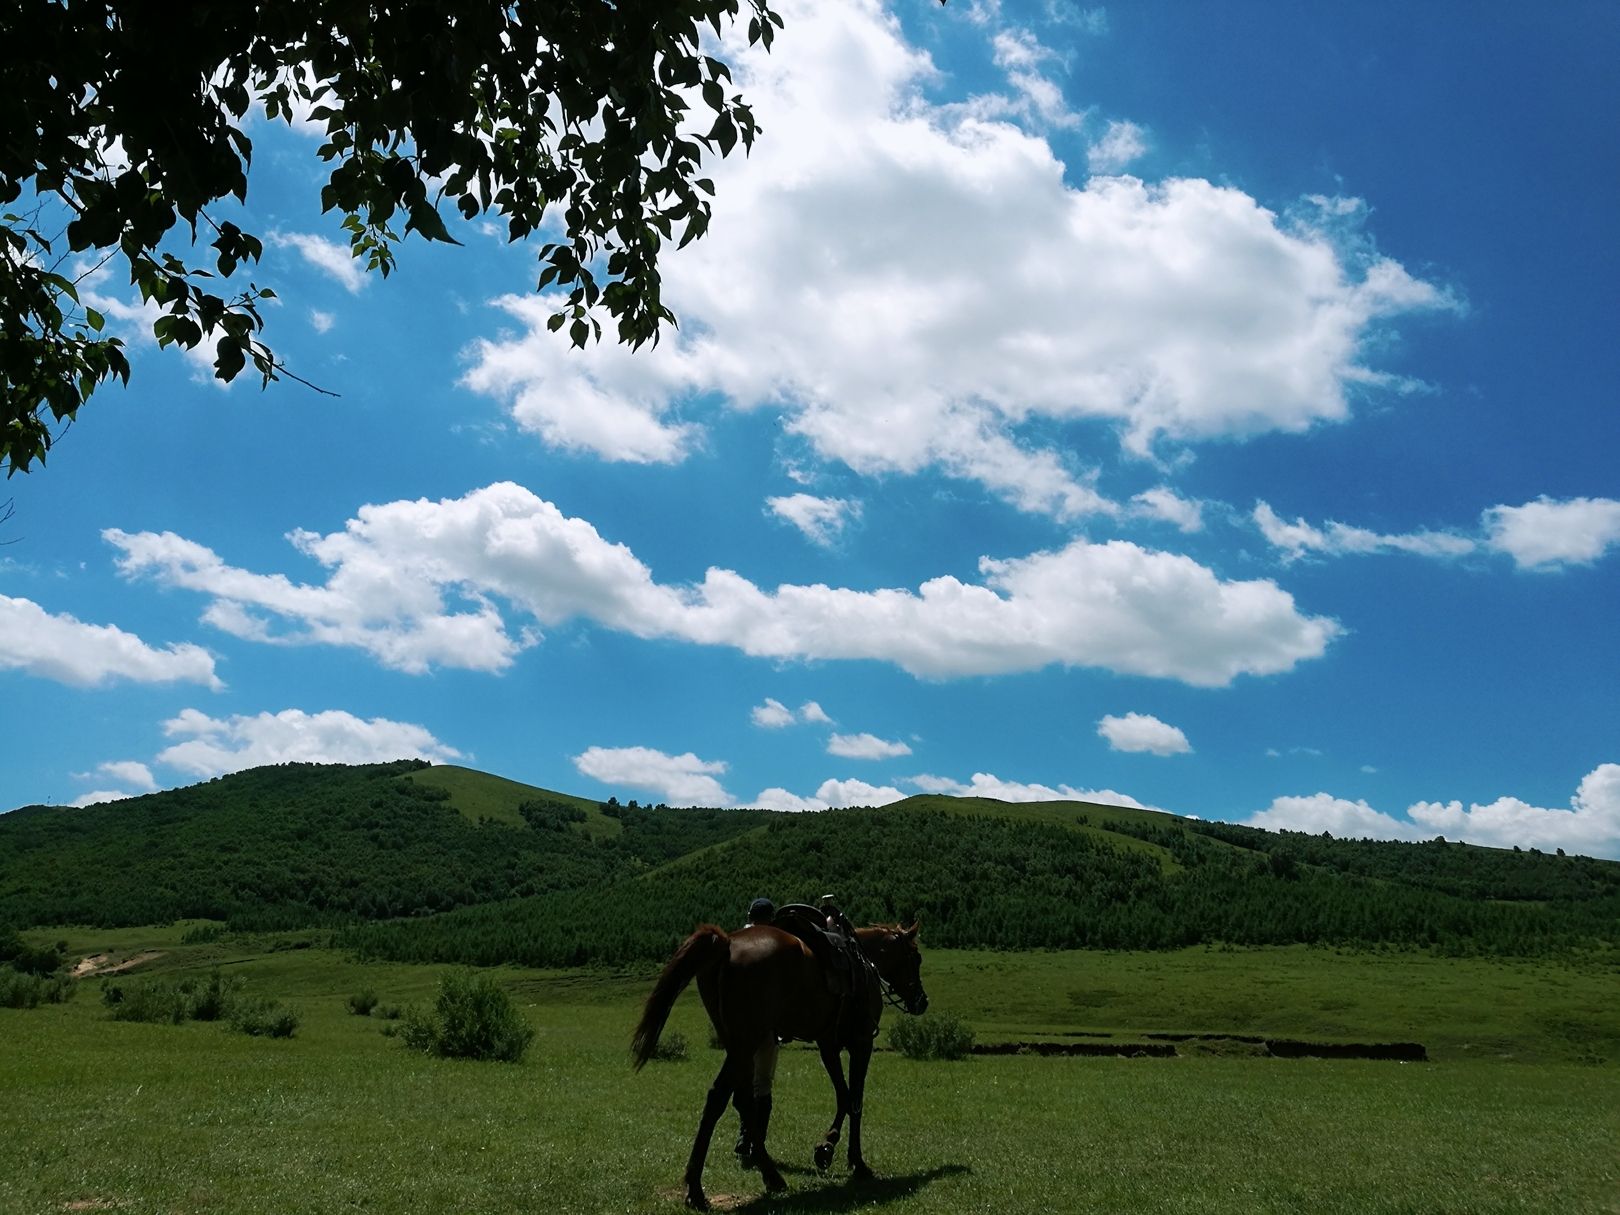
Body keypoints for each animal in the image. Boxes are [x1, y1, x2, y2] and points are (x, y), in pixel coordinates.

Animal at [638, 920, 933, 1211]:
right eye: (916, 957)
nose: (922, 1001)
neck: (864, 963)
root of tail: (727, 943)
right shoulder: (861, 1043)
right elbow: (855, 1101)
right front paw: (855, 1161)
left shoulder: (828, 1044)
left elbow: (843, 1095)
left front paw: (826, 1148)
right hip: (746, 1042)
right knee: (718, 1098)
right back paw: (698, 1189)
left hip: (738, 1045)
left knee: (742, 1100)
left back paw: (768, 1174)